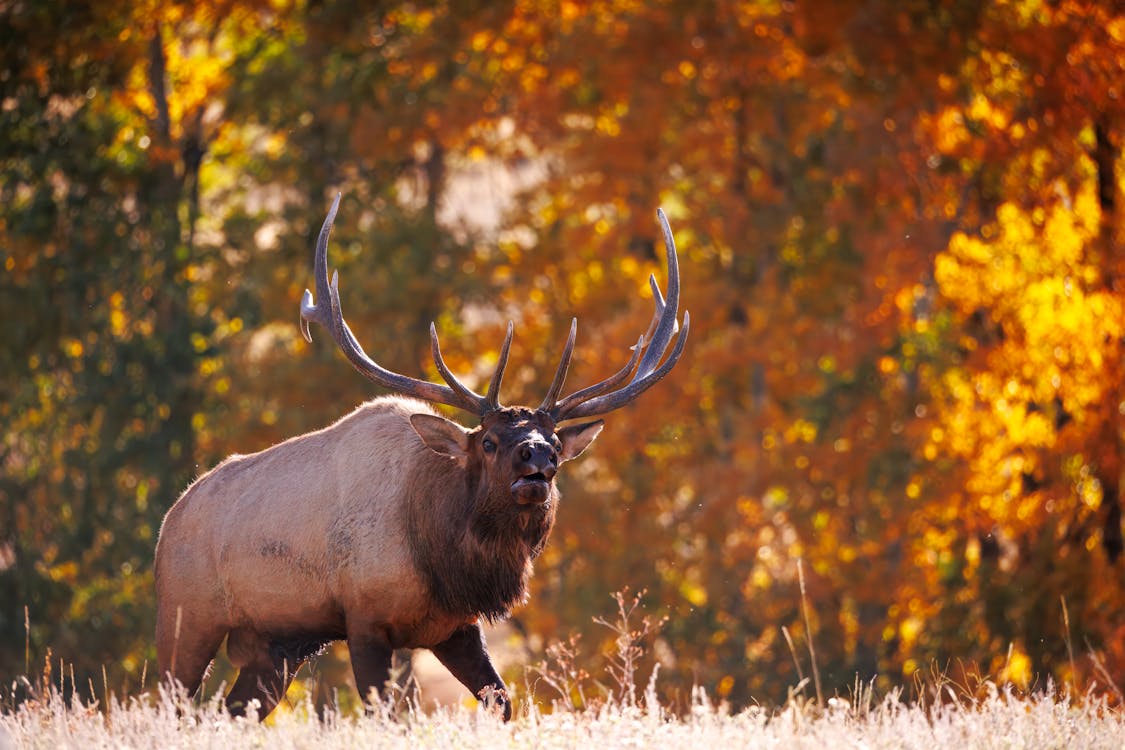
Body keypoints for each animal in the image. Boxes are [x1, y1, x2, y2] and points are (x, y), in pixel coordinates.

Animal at [153, 194, 689, 721]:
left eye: (556, 444)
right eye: (488, 442)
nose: (537, 456)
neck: (441, 555)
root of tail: (169, 519)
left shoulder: (454, 628)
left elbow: (503, 702)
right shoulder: (364, 618)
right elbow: (381, 712)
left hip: (276, 645)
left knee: (229, 710)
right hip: (185, 618)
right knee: (169, 703)